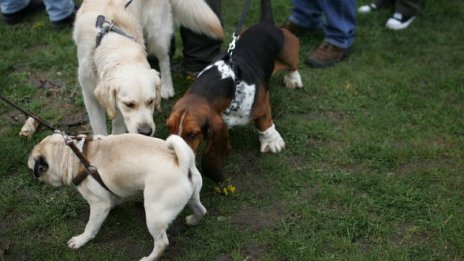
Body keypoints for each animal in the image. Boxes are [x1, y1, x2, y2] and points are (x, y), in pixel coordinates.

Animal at [26, 133, 205, 258]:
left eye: (33, 169)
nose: (33, 176)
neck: (72, 157)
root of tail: (183, 165)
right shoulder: (110, 193)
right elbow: (114, 199)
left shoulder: (98, 204)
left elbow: (91, 226)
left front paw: (81, 240)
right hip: (192, 197)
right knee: (201, 210)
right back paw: (193, 220)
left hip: (154, 214)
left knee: (162, 243)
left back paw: (149, 258)